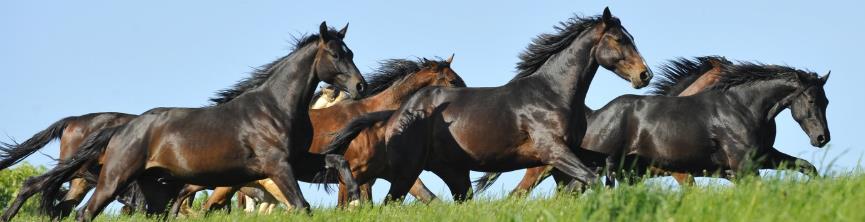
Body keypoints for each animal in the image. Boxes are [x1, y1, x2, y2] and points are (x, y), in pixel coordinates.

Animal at [35, 21, 366, 222]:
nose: (360, 86)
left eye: (351, 52)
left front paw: (356, 199)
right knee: (84, 213)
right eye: (335, 54)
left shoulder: (297, 160)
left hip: (152, 187)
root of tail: (122, 128)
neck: (274, 107)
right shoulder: (278, 165)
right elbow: (301, 205)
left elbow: (337, 160)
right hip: (114, 179)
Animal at [322, 7, 648, 203]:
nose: (645, 75)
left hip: (454, 173)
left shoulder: (572, 151)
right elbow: (592, 180)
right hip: (405, 171)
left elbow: (600, 171)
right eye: (619, 39)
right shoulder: (553, 150)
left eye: (632, 37)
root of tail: (395, 115)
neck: (552, 93)